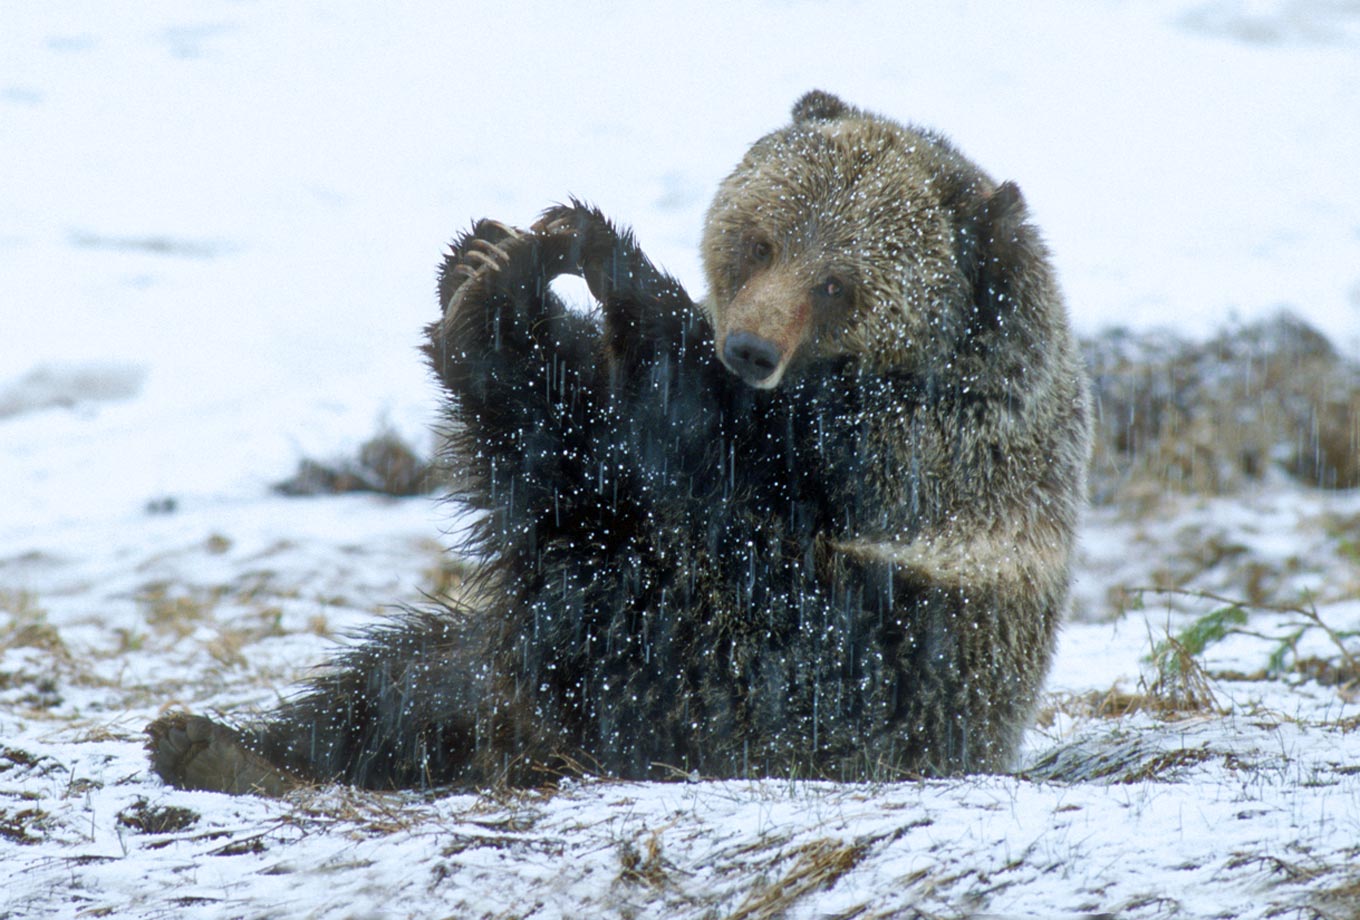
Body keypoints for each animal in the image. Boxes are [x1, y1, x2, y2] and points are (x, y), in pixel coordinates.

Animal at [146, 90, 1092, 794]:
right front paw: (489, 249)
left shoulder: (906, 451)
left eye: (838, 283)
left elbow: (699, 434)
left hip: (810, 659)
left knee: (599, 566)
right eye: (761, 240)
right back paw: (218, 745)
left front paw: (581, 247)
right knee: (402, 682)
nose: (748, 346)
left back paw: (491, 321)